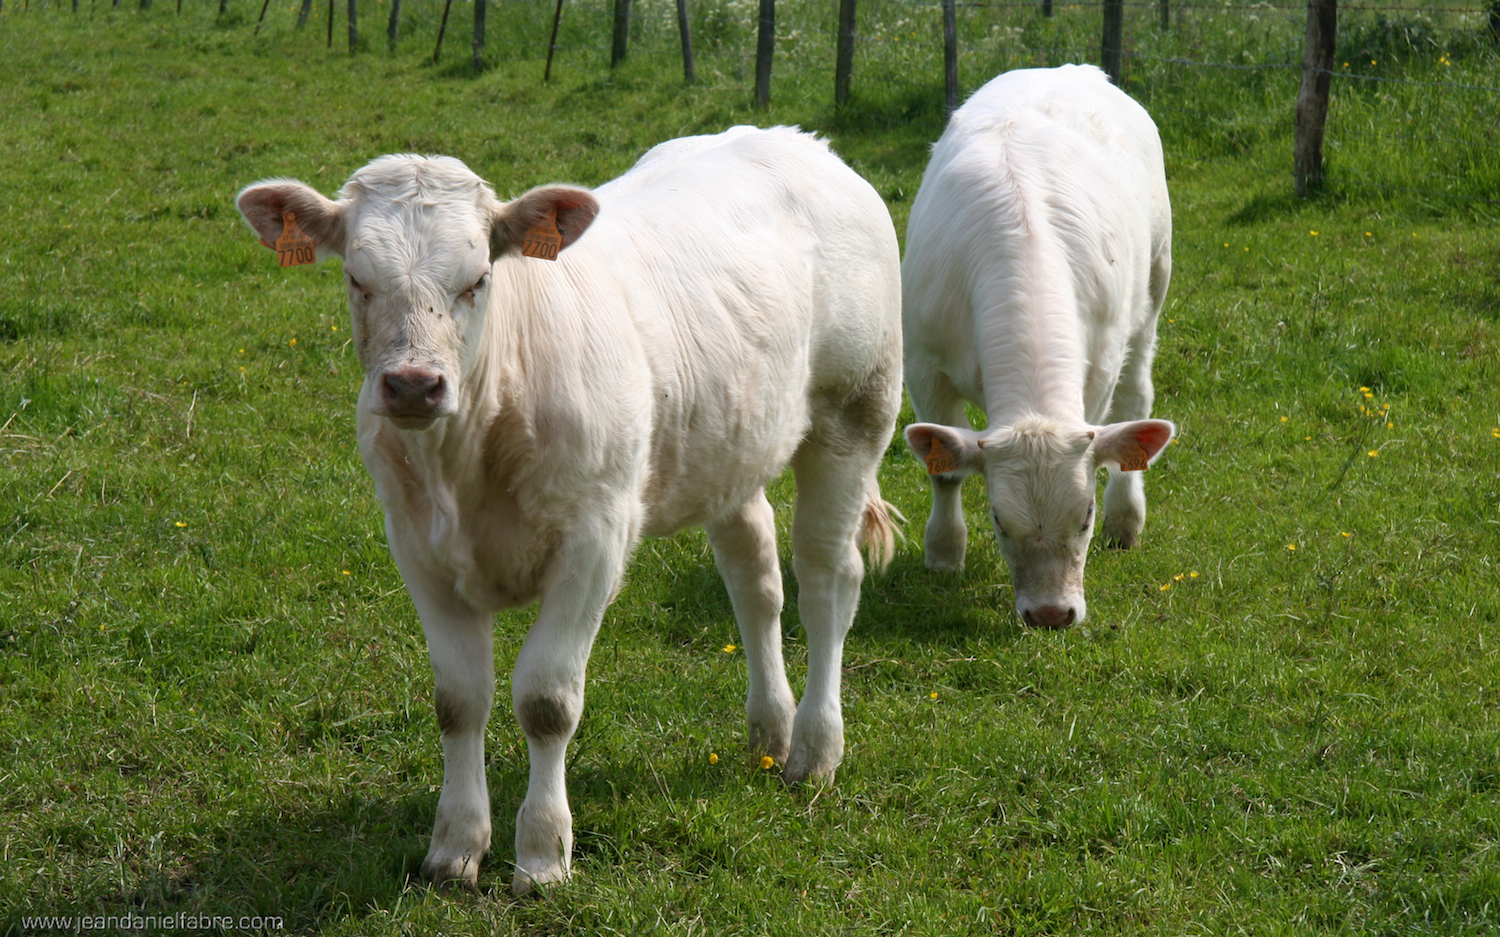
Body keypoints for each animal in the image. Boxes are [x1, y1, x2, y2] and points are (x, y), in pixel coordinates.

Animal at [235, 126, 902, 893]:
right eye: (356, 278)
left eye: (477, 279)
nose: (411, 385)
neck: (467, 458)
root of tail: (799, 141)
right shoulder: (416, 546)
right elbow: (458, 699)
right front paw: (454, 845)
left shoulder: (595, 541)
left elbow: (547, 700)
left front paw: (542, 852)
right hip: (729, 443)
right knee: (755, 576)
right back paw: (771, 730)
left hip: (855, 413)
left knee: (827, 579)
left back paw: (815, 751)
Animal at [900, 65, 1176, 629]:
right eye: (999, 520)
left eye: (1085, 516)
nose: (1051, 614)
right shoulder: (923, 366)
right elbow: (945, 475)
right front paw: (944, 553)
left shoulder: (1097, 372)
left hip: (1153, 291)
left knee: (1136, 401)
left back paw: (1127, 517)